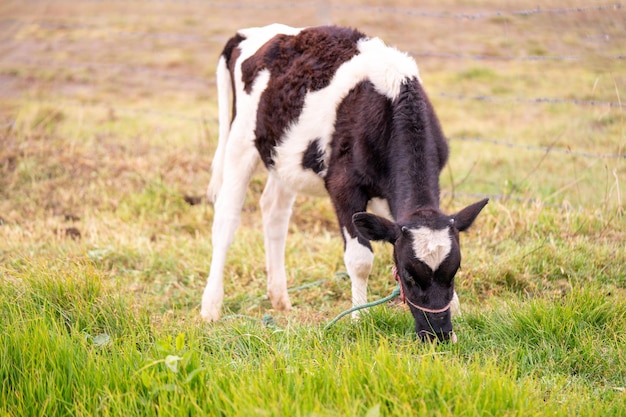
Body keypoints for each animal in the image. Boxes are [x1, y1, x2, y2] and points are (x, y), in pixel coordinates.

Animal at [201, 23, 488, 342]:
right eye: (408, 274)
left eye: (455, 271)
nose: (438, 334)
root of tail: (250, 33)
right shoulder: (343, 187)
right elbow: (360, 259)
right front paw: (358, 317)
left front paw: (458, 312)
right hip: (240, 142)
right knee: (226, 219)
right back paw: (211, 306)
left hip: (283, 158)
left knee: (274, 212)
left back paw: (280, 298)